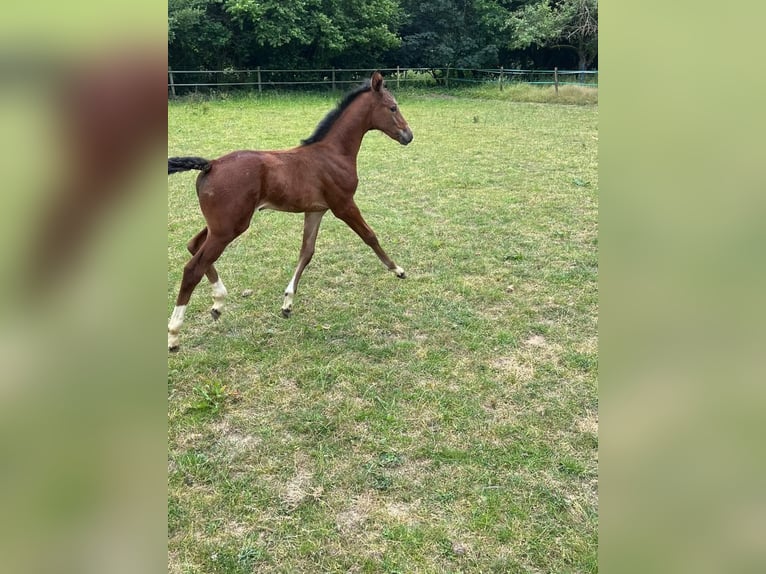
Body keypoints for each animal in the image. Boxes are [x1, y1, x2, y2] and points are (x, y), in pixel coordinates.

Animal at [169, 71, 414, 352]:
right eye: (393, 107)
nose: (409, 135)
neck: (333, 153)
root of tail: (211, 165)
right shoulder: (343, 205)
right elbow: (370, 236)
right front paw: (397, 269)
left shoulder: (316, 211)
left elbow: (306, 252)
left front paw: (287, 303)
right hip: (229, 228)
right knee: (193, 268)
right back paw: (174, 334)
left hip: (220, 225)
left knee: (193, 245)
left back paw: (218, 302)